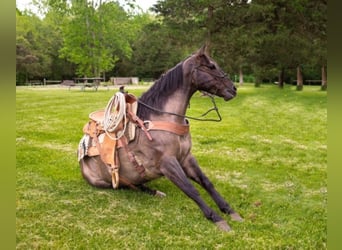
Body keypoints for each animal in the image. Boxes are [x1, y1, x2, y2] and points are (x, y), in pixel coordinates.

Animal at [78, 44, 243, 230]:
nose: (233, 89)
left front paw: (229, 210)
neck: (163, 118)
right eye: (212, 66)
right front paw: (216, 218)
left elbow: (206, 182)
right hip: (105, 182)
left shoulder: (186, 158)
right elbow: (191, 189)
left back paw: (155, 192)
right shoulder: (167, 163)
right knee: (126, 186)